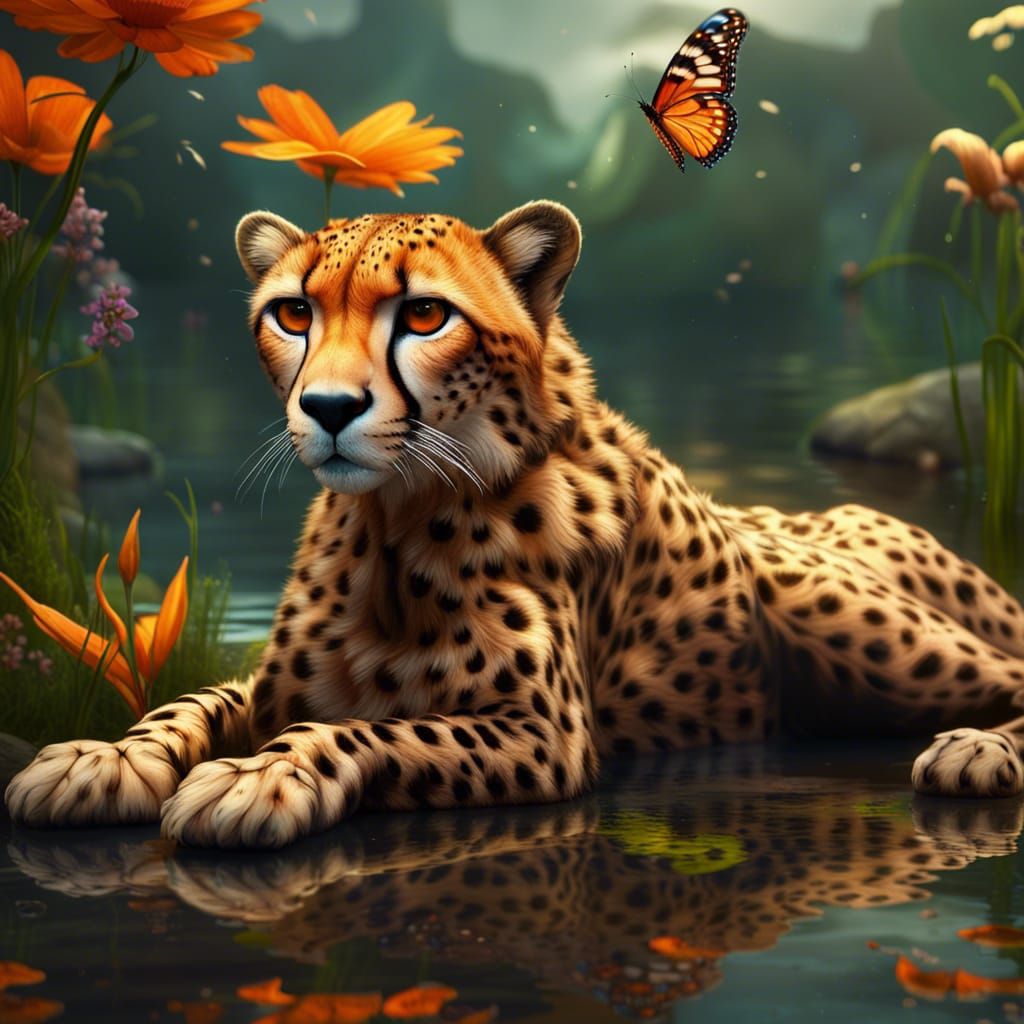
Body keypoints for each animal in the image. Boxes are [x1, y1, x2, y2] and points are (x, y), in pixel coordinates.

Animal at [7, 199, 1024, 849]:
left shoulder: (545, 736)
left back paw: (977, 748)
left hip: (843, 615)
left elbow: (372, 732)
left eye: (424, 313)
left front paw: (261, 778)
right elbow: (179, 707)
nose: (328, 408)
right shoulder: (266, 686)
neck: (393, 522)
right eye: (293, 312)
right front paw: (99, 760)